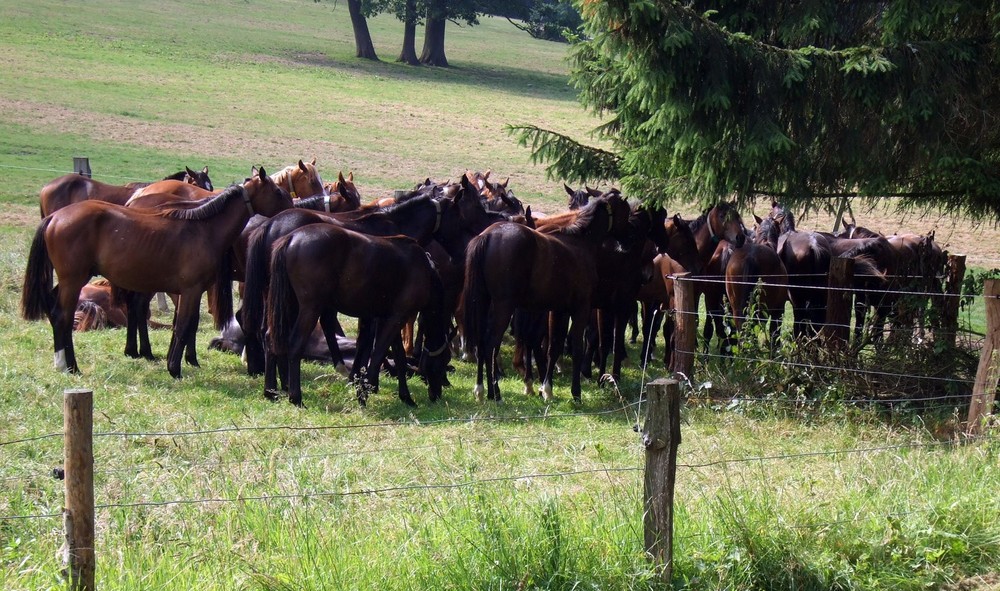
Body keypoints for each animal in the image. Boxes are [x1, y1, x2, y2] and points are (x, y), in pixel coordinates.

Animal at [266, 224, 454, 410]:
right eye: (442, 363)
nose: (437, 394)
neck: (425, 270)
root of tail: (291, 237)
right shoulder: (397, 318)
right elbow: (378, 354)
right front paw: (363, 394)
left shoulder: (391, 318)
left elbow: (399, 357)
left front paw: (406, 397)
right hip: (310, 309)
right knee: (295, 344)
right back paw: (296, 398)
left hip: (290, 306)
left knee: (271, 338)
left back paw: (271, 391)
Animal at [462, 193, 632, 402]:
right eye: (626, 211)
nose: (627, 242)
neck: (578, 243)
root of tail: (488, 235)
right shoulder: (581, 309)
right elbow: (576, 348)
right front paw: (576, 393)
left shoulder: (559, 310)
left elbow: (554, 347)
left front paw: (547, 389)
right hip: (504, 307)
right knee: (490, 344)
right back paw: (495, 392)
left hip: (484, 302)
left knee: (481, 342)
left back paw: (481, 390)